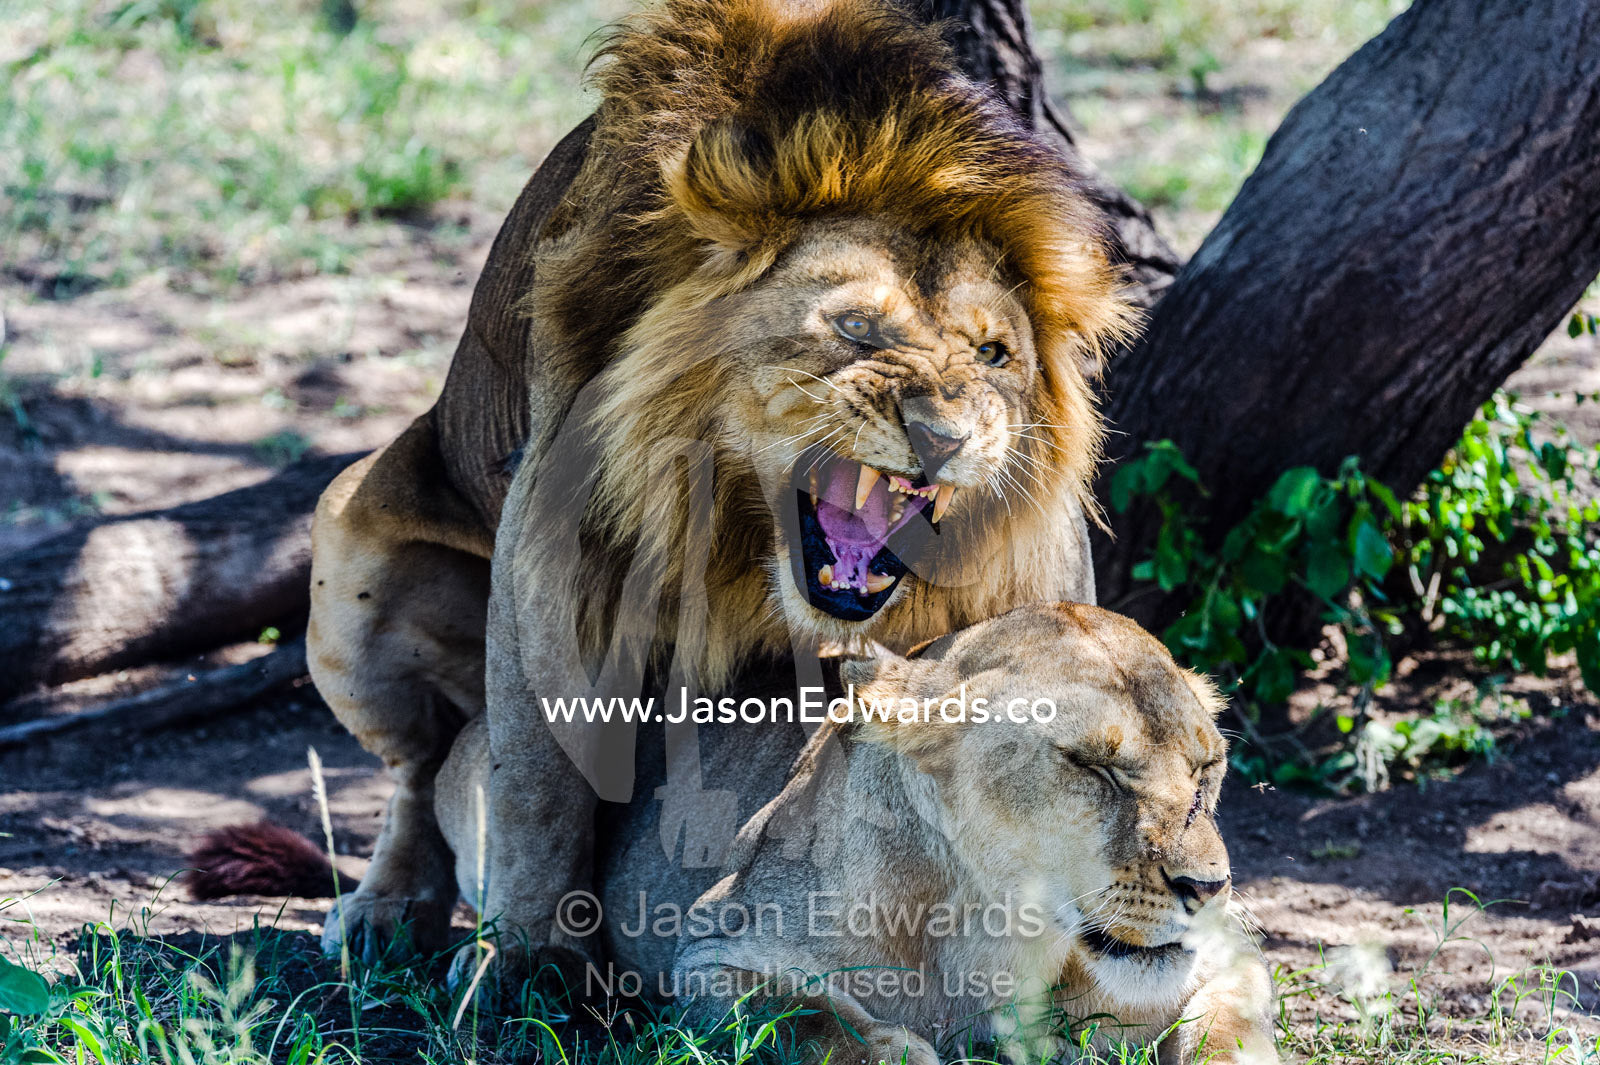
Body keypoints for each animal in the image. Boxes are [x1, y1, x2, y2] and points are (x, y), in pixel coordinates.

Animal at [303, 0, 1134, 989]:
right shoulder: (548, 543)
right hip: (344, 538)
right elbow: (538, 779)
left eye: (994, 354)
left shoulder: (1039, 566)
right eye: (856, 328)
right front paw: (531, 964)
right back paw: (386, 909)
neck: (746, 536)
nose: (943, 436)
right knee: (421, 764)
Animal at [431, 603, 1275, 1064]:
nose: (1209, 887)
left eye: (1208, 765)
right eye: (1090, 766)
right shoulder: (707, 953)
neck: (998, 932)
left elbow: (1231, 1029)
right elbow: (805, 1013)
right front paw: (895, 1048)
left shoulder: (1228, 958)